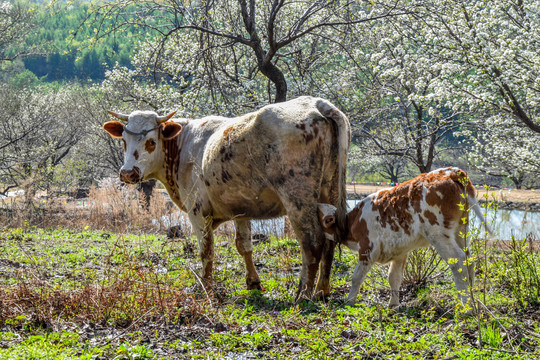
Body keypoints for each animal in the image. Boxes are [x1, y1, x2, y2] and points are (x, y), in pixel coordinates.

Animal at [103, 95, 352, 298]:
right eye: (123, 140)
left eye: (151, 141)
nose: (127, 173)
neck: (183, 147)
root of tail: (317, 103)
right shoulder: (241, 209)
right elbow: (244, 245)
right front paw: (253, 283)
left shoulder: (197, 210)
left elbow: (206, 250)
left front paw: (206, 287)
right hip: (329, 192)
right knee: (329, 240)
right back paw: (322, 290)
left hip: (298, 198)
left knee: (312, 241)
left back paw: (303, 294)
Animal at [318, 168, 492, 306]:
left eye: (324, 218)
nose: (316, 204)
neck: (354, 221)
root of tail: (449, 171)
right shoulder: (399, 252)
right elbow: (394, 278)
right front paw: (393, 305)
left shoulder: (368, 249)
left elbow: (357, 277)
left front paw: (349, 300)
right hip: (461, 231)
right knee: (470, 261)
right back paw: (472, 300)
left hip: (438, 235)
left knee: (459, 262)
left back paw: (467, 307)